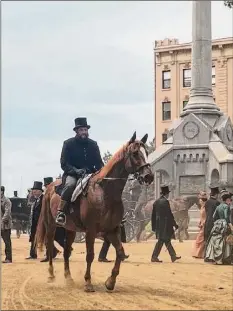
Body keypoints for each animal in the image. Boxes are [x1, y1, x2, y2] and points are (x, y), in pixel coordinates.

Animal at [35, 133, 154, 294]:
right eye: (135, 153)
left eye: (146, 152)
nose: (149, 176)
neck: (105, 192)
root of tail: (49, 188)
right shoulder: (91, 230)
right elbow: (90, 255)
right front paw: (88, 283)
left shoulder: (112, 230)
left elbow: (120, 252)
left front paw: (110, 282)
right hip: (51, 226)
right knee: (49, 245)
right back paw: (51, 275)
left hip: (71, 229)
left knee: (66, 251)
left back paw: (69, 278)